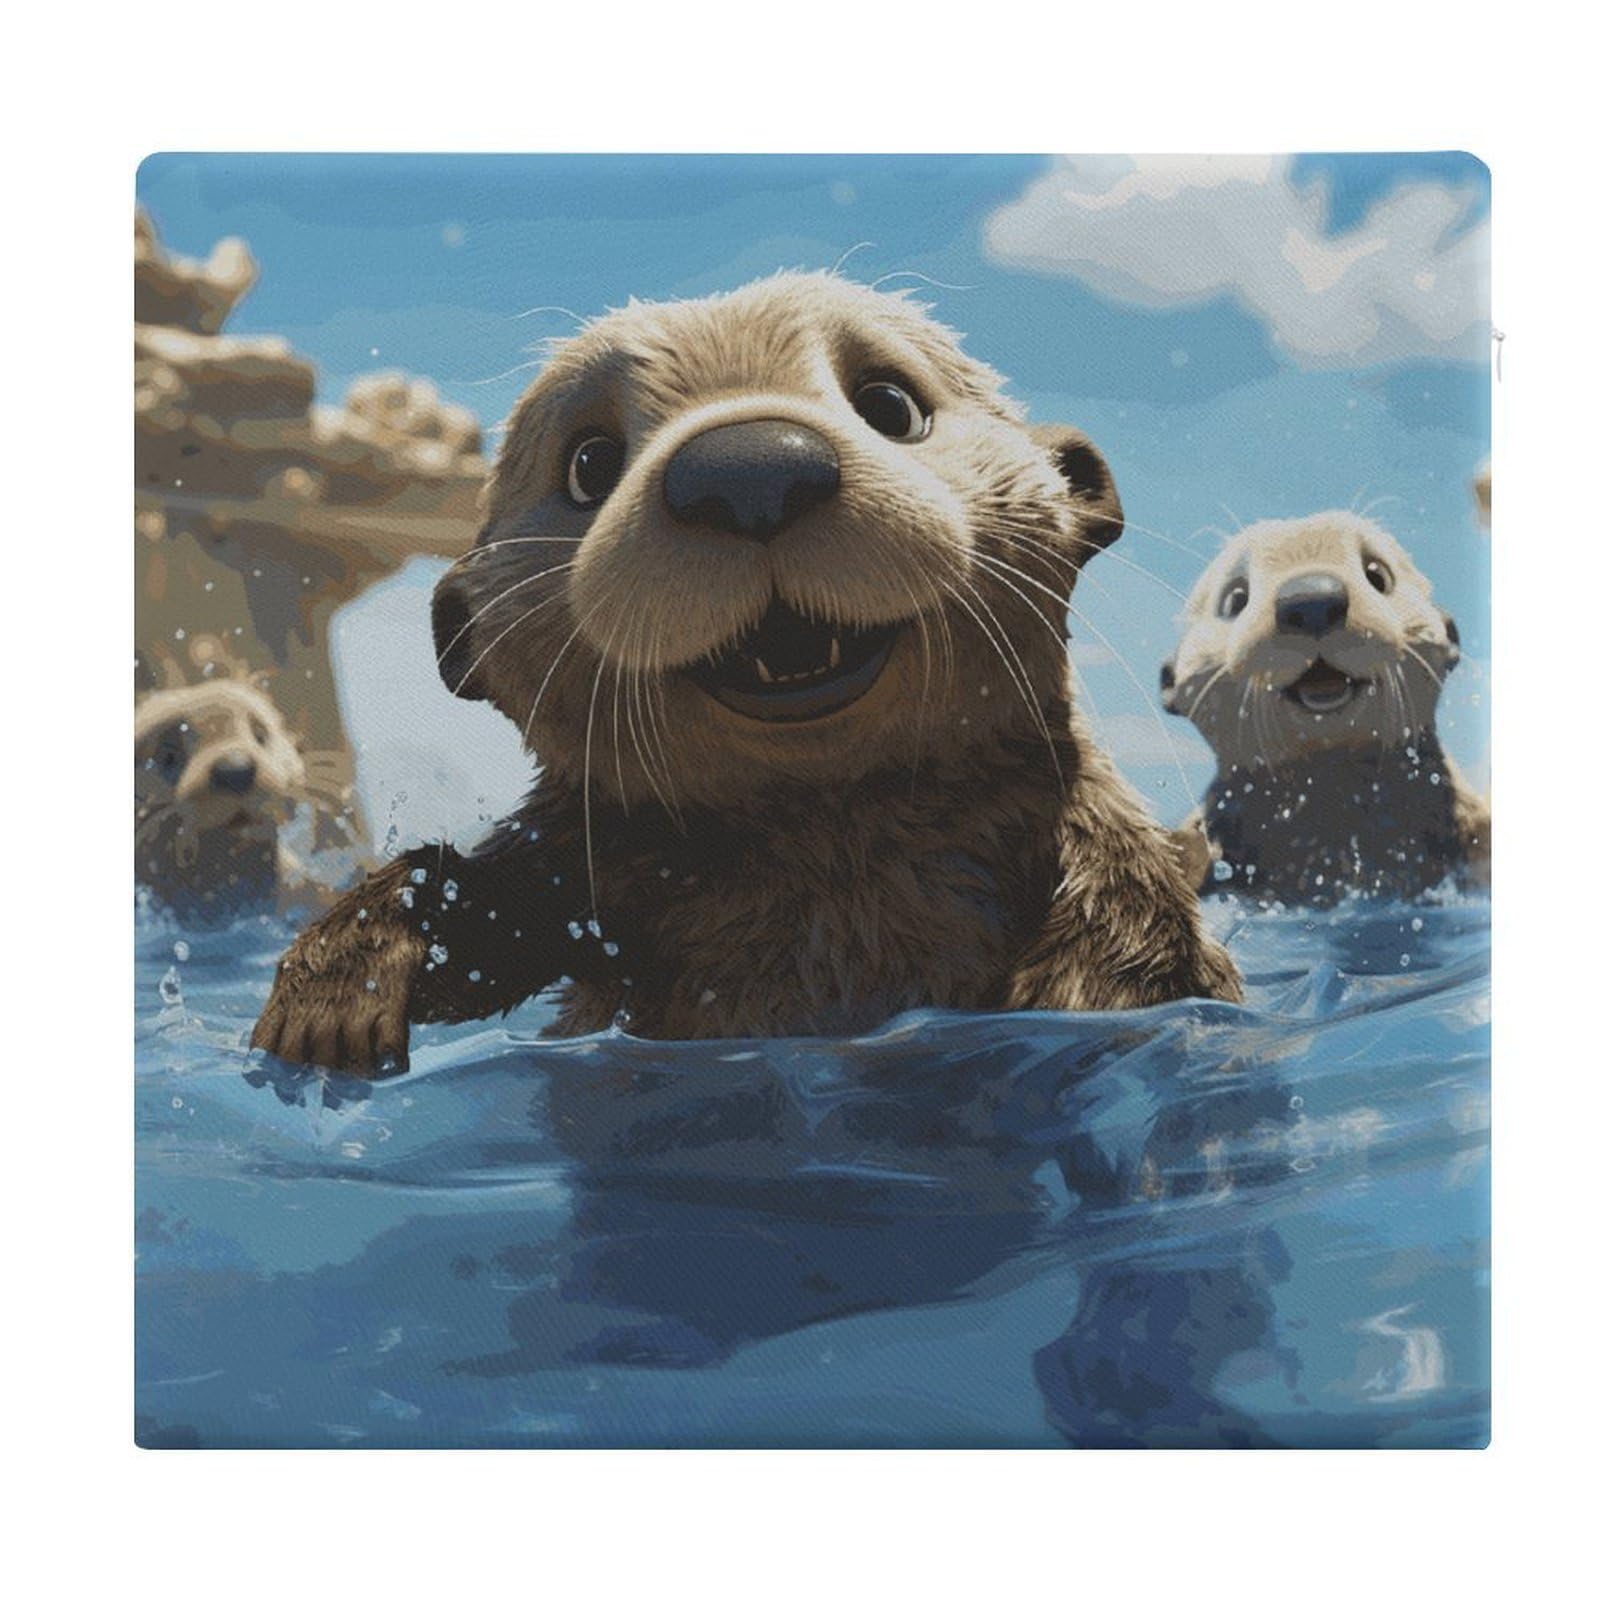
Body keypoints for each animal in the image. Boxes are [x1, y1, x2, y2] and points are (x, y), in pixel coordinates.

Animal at [251, 273, 1240, 1075]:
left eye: (891, 405)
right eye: (588, 462)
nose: (751, 469)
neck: (835, 854)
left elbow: (1133, 945)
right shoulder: (581, 870)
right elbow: (474, 904)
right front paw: (334, 998)